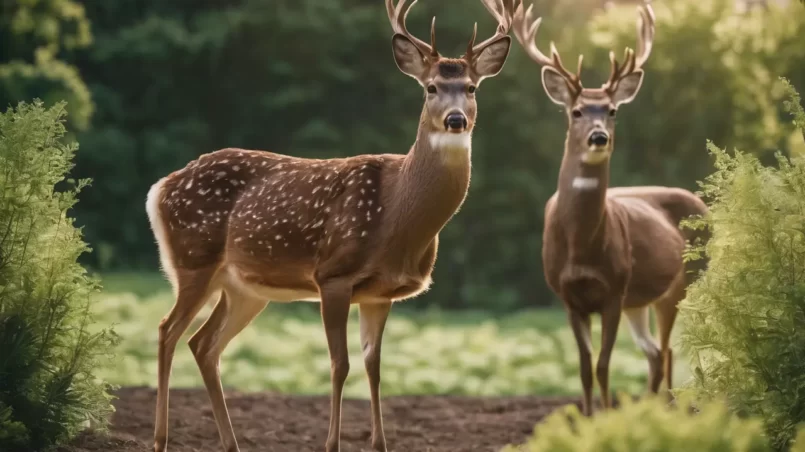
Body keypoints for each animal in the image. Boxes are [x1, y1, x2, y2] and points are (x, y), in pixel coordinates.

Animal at [145, 1, 516, 450]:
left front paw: (380, 443)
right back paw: (160, 439)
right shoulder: (333, 275)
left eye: (472, 88)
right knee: (167, 331)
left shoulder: (381, 293)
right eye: (430, 88)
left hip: (243, 288)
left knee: (203, 344)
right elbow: (340, 364)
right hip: (193, 261)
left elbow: (374, 366)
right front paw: (332, 443)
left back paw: (230, 442)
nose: (456, 119)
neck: (396, 216)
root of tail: (160, 188)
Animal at [512, 0, 708, 416]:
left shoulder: (614, 290)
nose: (598, 137)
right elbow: (585, 367)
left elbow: (603, 365)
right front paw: (587, 416)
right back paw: (649, 408)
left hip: (680, 283)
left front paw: (604, 417)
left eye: (613, 110)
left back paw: (664, 410)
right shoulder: (569, 297)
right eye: (576, 111)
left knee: (666, 352)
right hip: (640, 301)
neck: (581, 249)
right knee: (656, 354)